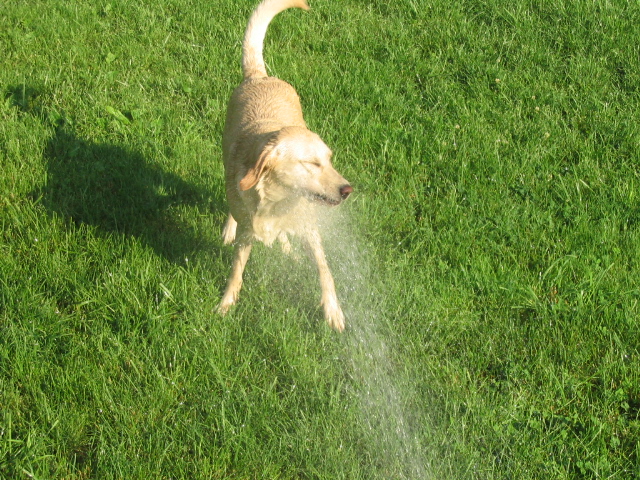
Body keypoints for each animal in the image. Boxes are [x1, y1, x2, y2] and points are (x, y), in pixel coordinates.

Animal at [216, 0, 352, 332]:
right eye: (312, 163)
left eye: (329, 159)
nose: (347, 189)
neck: (277, 200)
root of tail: (258, 76)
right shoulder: (248, 232)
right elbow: (236, 270)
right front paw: (226, 303)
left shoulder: (309, 226)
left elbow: (325, 269)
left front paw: (333, 311)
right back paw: (230, 227)